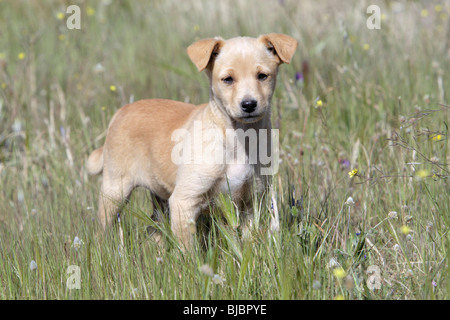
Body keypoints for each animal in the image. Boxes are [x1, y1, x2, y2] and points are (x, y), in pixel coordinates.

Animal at [88, 33, 298, 249]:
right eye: (228, 79)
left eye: (262, 76)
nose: (248, 104)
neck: (238, 139)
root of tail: (120, 112)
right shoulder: (183, 201)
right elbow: (188, 251)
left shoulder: (251, 202)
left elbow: (248, 241)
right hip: (115, 190)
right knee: (101, 230)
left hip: (160, 198)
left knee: (154, 229)